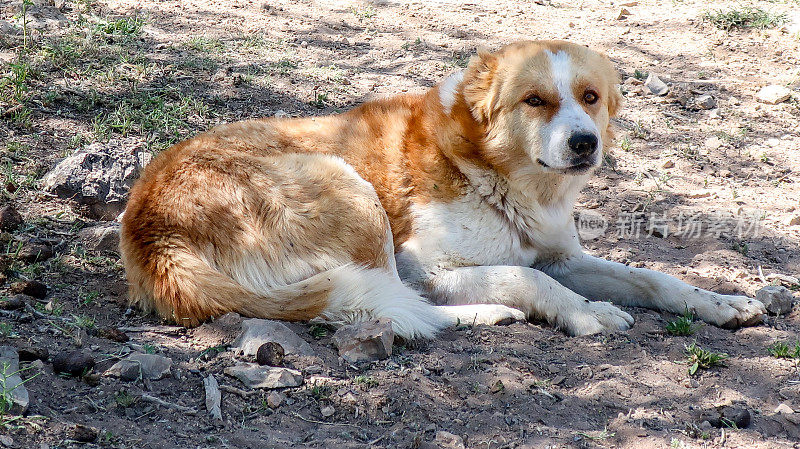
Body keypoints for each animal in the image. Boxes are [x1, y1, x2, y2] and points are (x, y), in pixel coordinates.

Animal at [120, 40, 768, 338]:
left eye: (590, 97)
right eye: (535, 100)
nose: (586, 143)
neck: (499, 177)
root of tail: (151, 230)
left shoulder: (564, 257)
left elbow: (652, 278)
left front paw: (720, 303)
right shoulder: (428, 267)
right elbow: (525, 277)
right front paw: (586, 315)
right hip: (351, 192)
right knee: (393, 308)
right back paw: (491, 313)